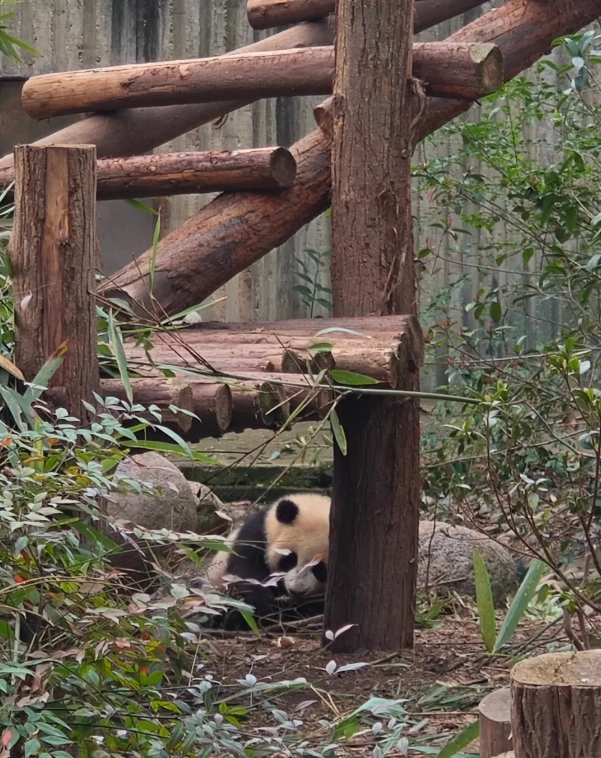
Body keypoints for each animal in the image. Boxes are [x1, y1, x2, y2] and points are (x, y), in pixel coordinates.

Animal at [206, 492, 330, 629]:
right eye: (291, 559)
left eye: (320, 569)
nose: (296, 591)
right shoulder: (260, 531)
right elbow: (245, 565)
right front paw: (261, 600)